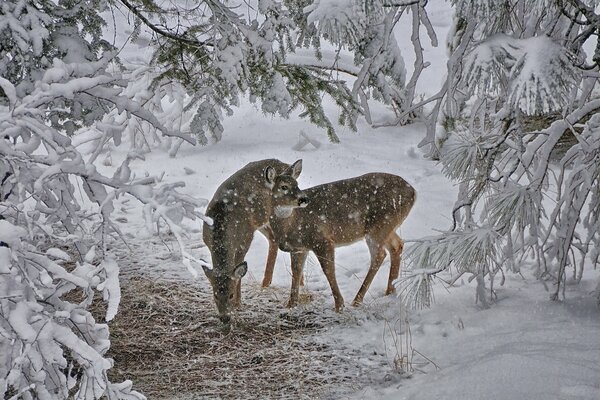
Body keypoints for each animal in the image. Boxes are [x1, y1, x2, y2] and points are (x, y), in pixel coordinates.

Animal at [203, 158, 304, 324]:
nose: (225, 318)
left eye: (230, 294)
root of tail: (286, 165)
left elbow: (239, 270)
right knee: (273, 239)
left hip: (280, 214)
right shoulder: (207, 242)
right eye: (215, 295)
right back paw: (266, 283)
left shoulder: (245, 239)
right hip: (262, 220)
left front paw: (238, 303)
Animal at [264, 170, 414, 312]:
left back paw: (357, 300)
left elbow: (328, 270)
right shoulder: (298, 248)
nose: (304, 199)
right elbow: (296, 271)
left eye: (297, 184)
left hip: (379, 226)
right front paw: (291, 304)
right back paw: (390, 291)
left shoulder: (322, 240)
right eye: (284, 186)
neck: (291, 224)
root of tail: (413, 192)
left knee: (379, 255)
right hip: (386, 227)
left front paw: (339, 305)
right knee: (397, 245)